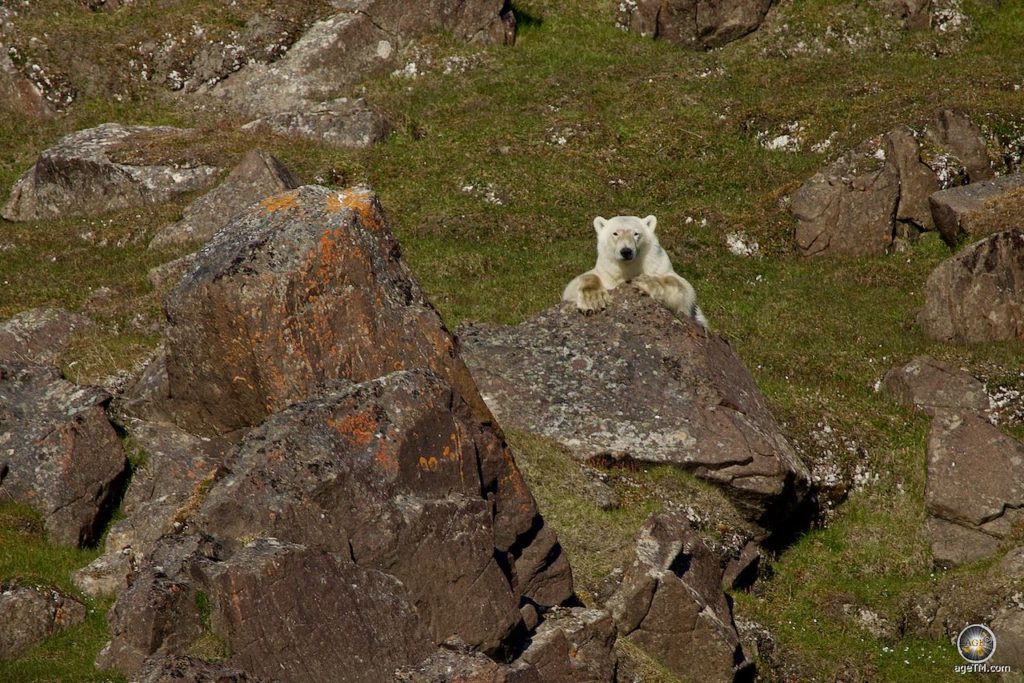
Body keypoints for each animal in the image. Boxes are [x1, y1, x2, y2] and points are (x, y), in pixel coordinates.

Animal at [565, 216, 708, 327]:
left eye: (636, 233)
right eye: (615, 233)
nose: (626, 251)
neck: (629, 267)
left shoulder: (659, 265)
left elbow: (684, 288)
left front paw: (645, 282)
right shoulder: (606, 272)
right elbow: (576, 285)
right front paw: (592, 300)